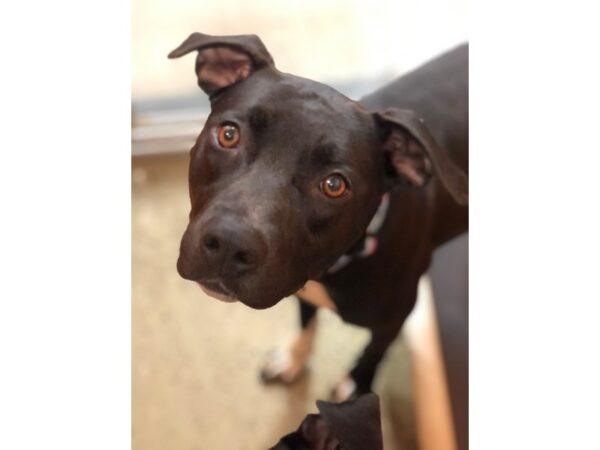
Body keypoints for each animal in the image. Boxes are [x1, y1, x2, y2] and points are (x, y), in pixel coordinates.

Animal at [169, 33, 468, 402]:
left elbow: (374, 352)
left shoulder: (394, 318)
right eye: (228, 134)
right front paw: (294, 358)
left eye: (334, 185)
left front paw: (355, 386)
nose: (228, 244)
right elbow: (307, 319)